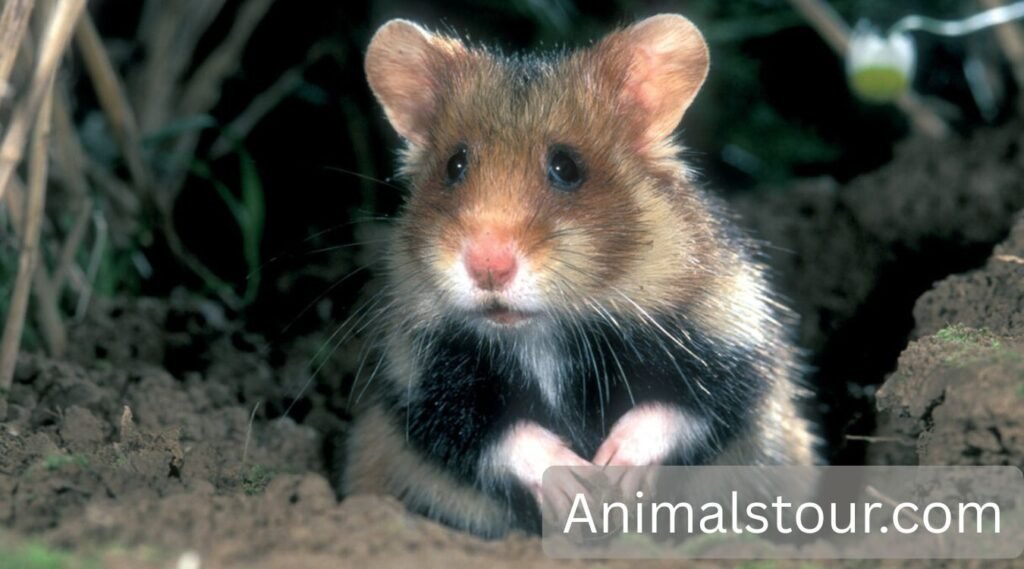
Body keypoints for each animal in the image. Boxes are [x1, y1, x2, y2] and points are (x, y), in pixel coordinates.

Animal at [341, 14, 820, 537]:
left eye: (567, 166)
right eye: (455, 165)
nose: (488, 265)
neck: (542, 332)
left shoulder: (733, 337)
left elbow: (684, 406)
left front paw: (611, 470)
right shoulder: (420, 376)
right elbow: (488, 431)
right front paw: (576, 484)